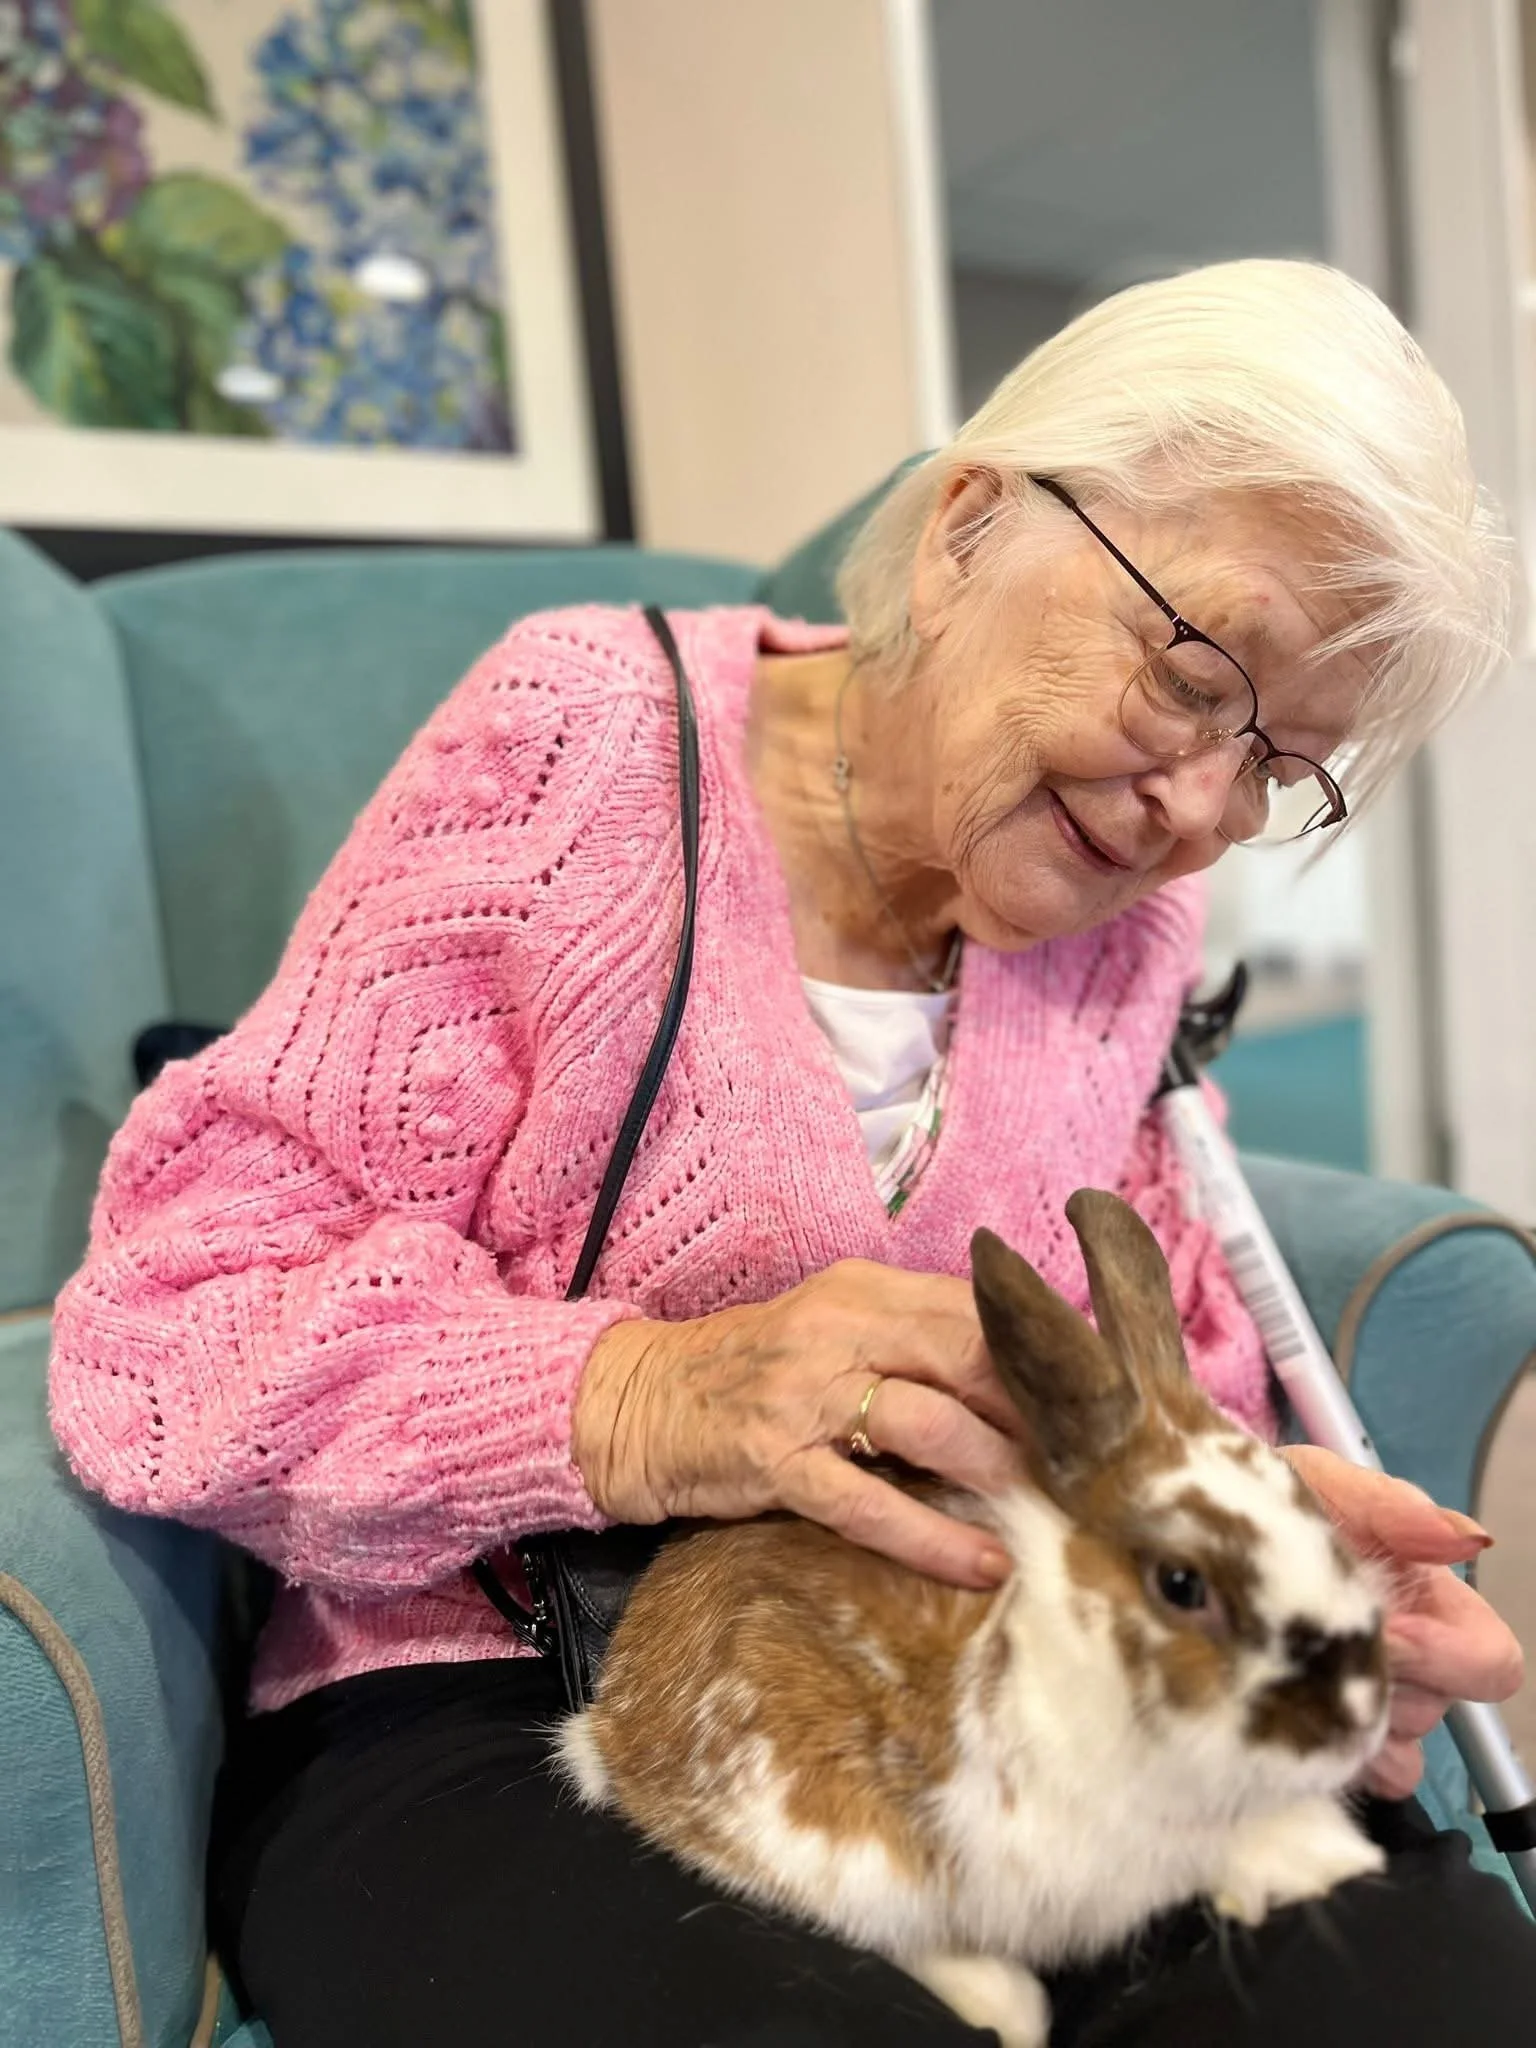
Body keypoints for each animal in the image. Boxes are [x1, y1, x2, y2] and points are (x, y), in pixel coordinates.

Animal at [555, 1190, 1391, 2048]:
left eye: (1312, 1511)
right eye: (1182, 1584)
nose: (1360, 1718)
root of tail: (611, 1724)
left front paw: (1334, 1858)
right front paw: (1327, 1862)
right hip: (827, 1831)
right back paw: (1010, 2007)